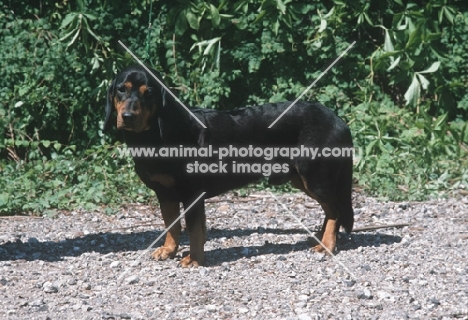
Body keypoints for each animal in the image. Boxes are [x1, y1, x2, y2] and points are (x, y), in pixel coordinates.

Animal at [104, 65, 352, 268]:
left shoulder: (193, 194)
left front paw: (194, 260)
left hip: (315, 177)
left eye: (149, 92)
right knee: (331, 209)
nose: (128, 116)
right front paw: (169, 250)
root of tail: (338, 120)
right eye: (121, 90)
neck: (158, 134)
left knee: (335, 210)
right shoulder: (165, 194)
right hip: (302, 179)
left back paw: (327, 245)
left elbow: (194, 230)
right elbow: (171, 225)